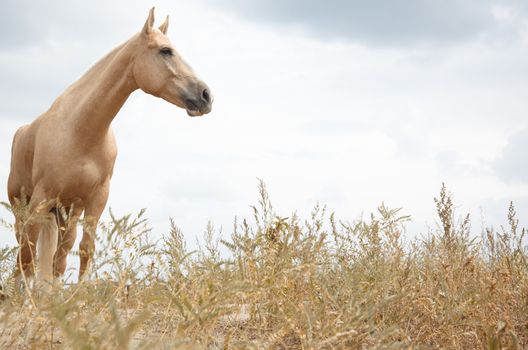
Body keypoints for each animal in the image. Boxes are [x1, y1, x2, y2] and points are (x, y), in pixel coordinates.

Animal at [6, 6, 212, 288]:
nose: (206, 95)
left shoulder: (95, 199)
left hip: (65, 211)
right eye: (165, 50)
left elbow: (83, 250)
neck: (81, 130)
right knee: (24, 250)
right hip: (23, 207)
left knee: (57, 254)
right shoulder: (41, 197)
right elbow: (28, 255)